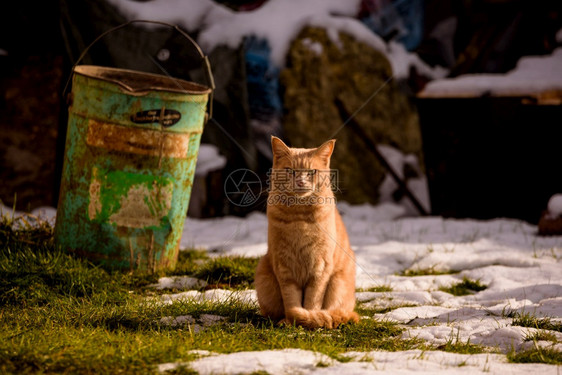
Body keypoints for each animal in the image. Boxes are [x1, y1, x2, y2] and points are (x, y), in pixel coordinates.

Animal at [255, 137, 358, 328]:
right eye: (290, 171)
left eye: (311, 172)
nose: (301, 182)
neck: (299, 219)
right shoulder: (284, 267)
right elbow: (291, 300)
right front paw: (291, 319)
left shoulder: (320, 268)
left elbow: (312, 301)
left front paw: (308, 318)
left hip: (338, 284)